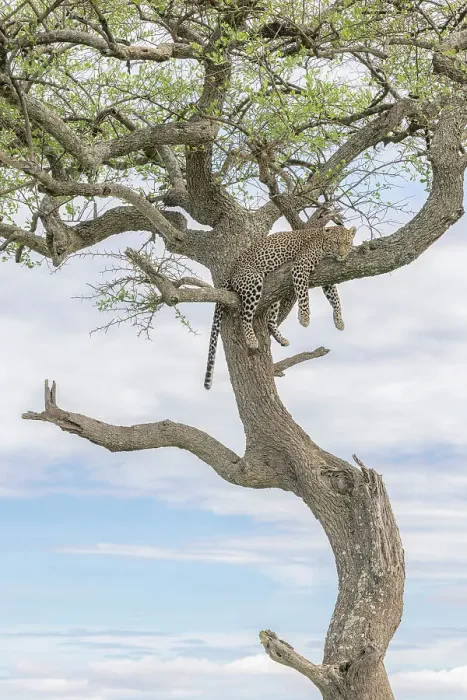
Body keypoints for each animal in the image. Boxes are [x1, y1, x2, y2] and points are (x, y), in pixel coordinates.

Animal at [204, 224, 356, 390]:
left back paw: (281, 339)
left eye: (347, 243)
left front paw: (339, 321)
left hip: (274, 294)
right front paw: (304, 318)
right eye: (336, 243)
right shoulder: (300, 267)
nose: (341, 254)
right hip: (253, 281)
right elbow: (304, 295)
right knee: (245, 315)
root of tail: (232, 270)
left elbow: (335, 299)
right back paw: (251, 339)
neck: (323, 243)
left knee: (271, 320)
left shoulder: (326, 276)